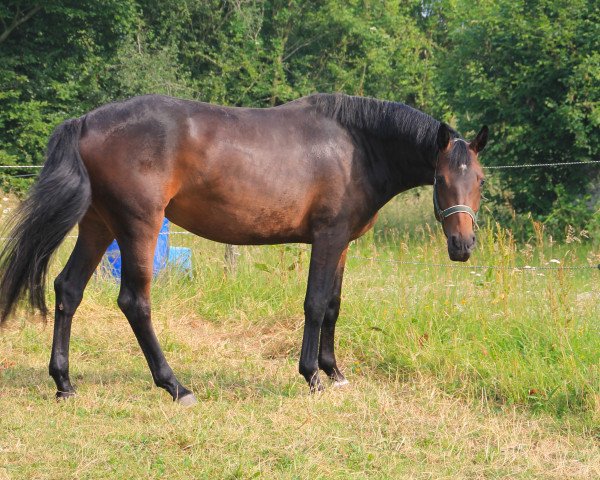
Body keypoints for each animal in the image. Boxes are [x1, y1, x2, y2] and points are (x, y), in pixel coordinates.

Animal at [0, 94, 488, 404]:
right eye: (441, 178)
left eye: (479, 180)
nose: (463, 246)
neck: (355, 148)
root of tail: (86, 122)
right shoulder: (327, 238)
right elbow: (314, 304)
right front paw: (312, 376)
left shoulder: (343, 243)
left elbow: (333, 306)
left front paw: (335, 372)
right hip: (138, 226)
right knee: (134, 302)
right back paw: (175, 386)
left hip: (98, 225)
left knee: (68, 290)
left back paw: (64, 383)